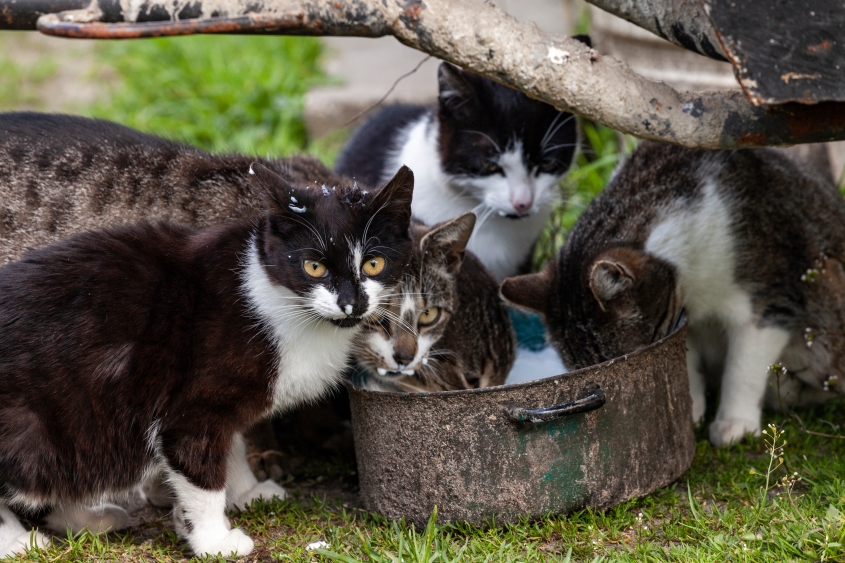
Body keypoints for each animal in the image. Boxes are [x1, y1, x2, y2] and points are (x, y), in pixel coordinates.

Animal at [0, 144, 416, 560]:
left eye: (374, 263)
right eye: (313, 267)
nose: (351, 303)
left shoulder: (226, 403)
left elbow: (231, 446)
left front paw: (247, 492)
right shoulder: (191, 408)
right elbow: (201, 472)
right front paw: (214, 539)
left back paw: (88, 519)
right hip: (37, 426)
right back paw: (19, 541)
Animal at [502, 142, 844, 450]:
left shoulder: (770, 300)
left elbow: (744, 367)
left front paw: (735, 423)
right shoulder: (679, 317)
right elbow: (685, 364)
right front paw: (689, 411)